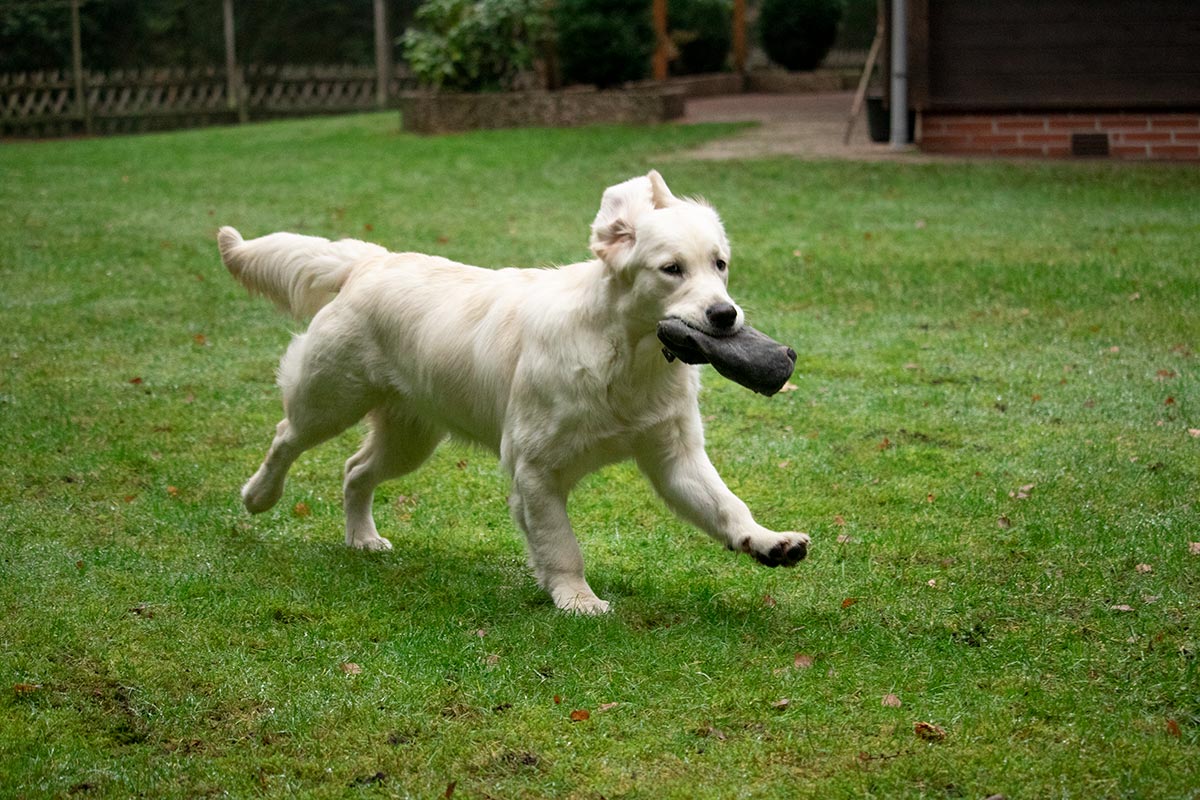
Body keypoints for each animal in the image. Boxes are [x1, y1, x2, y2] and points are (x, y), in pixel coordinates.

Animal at [220, 170, 811, 614]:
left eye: (720, 263)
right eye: (671, 269)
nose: (725, 315)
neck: (624, 355)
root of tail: (371, 260)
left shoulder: (674, 457)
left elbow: (726, 505)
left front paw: (767, 541)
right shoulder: (535, 469)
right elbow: (561, 544)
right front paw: (577, 599)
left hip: (411, 437)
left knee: (355, 470)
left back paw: (362, 537)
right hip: (328, 397)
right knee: (286, 437)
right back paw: (258, 495)